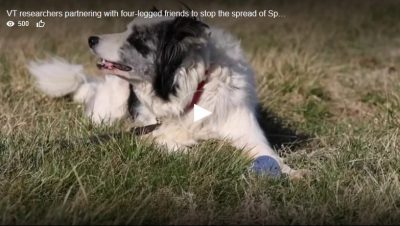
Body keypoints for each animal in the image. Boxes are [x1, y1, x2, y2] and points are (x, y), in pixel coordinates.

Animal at [28, 12, 306, 178]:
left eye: (137, 39)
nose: (91, 39)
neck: (193, 93)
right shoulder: (155, 131)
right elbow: (181, 147)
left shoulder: (245, 130)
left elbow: (268, 154)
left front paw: (295, 174)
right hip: (108, 110)